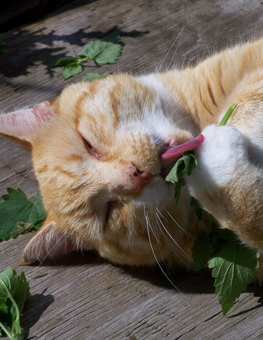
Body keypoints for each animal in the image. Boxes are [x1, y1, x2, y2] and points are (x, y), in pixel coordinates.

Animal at [0, 37, 263, 278]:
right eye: (109, 212)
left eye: (89, 145)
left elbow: (247, 100)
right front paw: (216, 162)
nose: (136, 175)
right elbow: (247, 216)